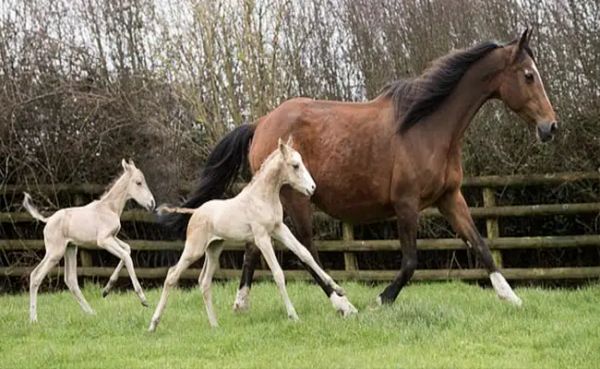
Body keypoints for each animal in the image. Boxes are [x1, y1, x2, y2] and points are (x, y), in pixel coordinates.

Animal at [23, 160, 155, 320]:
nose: (152, 203)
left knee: (70, 280)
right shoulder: (104, 240)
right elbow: (126, 256)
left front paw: (106, 290)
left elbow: (127, 250)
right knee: (36, 276)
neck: (109, 208)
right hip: (55, 253)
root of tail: (47, 220)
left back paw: (91, 312)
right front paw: (143, 299)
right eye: (138, 182)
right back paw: (33, 319)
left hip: (70, 249)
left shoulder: (113, 237)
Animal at [149, 139, 356, 330]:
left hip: (214, 249)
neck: (262, 197)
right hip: (195, 249)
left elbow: (305, 254)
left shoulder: (279, 229)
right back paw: (153, 324)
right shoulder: (262, 237)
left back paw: (215, 325)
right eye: (295, 165)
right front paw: (293, 315)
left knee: (204, 281)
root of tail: (195, 212)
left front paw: (339, 288)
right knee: (172, 275)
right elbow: (278, 273)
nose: (312, 188)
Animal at [161, 28, 556, 310]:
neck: (427, 127)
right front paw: (382, 300)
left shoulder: (449, 198)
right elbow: (411, 260)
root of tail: (260, 124)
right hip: (296, 199)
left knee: (254, 247)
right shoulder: (406, 204)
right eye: (529, 75)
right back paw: (340, 302)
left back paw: (242, 302)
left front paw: (512, 297)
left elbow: (481, 245)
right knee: (306, 250)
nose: (550, 127)